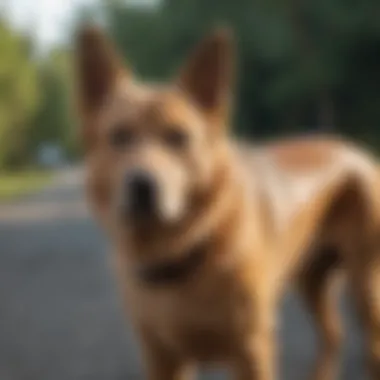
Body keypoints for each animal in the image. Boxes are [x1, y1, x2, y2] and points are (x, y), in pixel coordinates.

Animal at [75, 25, 380, 378]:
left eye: (178, 137)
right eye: (119, 136)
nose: (143, 185)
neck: (181, 255)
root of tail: (357, 151)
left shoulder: (251, 351)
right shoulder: (162, 358)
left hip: (364, 286)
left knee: (369, 344)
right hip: (311, 281)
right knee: (333, 335)